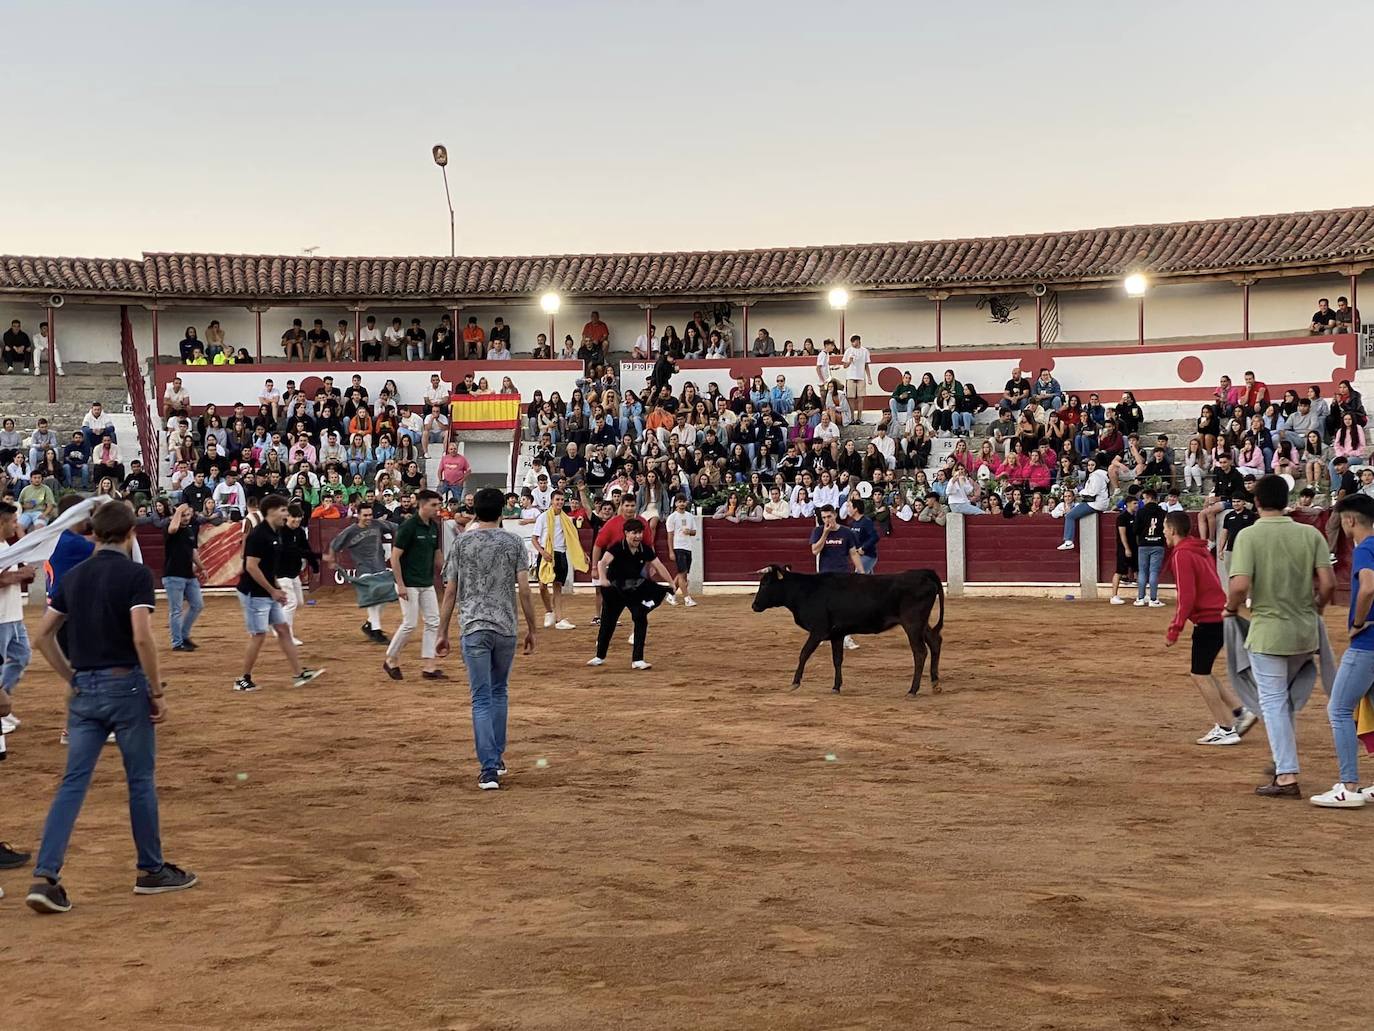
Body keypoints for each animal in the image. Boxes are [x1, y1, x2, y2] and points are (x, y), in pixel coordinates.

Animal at [752, 569, 945, 698]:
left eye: (766, 583)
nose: (754, 605)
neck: (805, 591)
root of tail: (922, 573)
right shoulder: (837, 634)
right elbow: (837, 659)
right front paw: (836, 687)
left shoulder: (818, 631)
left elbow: (804, 653)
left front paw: (795, 683)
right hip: (921, 624)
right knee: (935, 641)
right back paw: (935, 683)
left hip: (912, 624)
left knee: (920, 652)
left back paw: (913, 690)